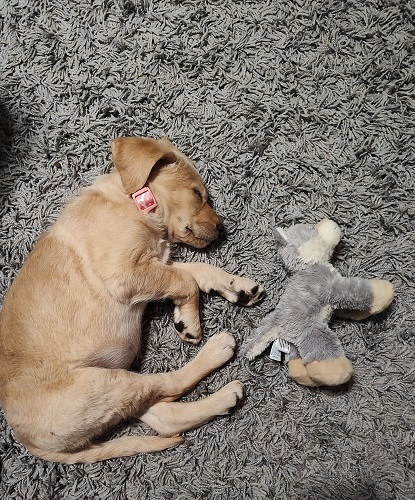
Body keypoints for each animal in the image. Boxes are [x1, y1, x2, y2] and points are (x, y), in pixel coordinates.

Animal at [0, 136, 264, 463]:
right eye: (197, 194)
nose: (221, 228)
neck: (133, 201)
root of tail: (26, 439)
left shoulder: (153, 264)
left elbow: (196, 270)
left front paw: (238, 286)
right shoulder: (125, 273)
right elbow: (186, 279)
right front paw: (190, 322)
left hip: (106, 397)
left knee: (164, 417)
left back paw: (222, 399)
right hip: (101, 385)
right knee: (167, 385)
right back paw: (218, 358)